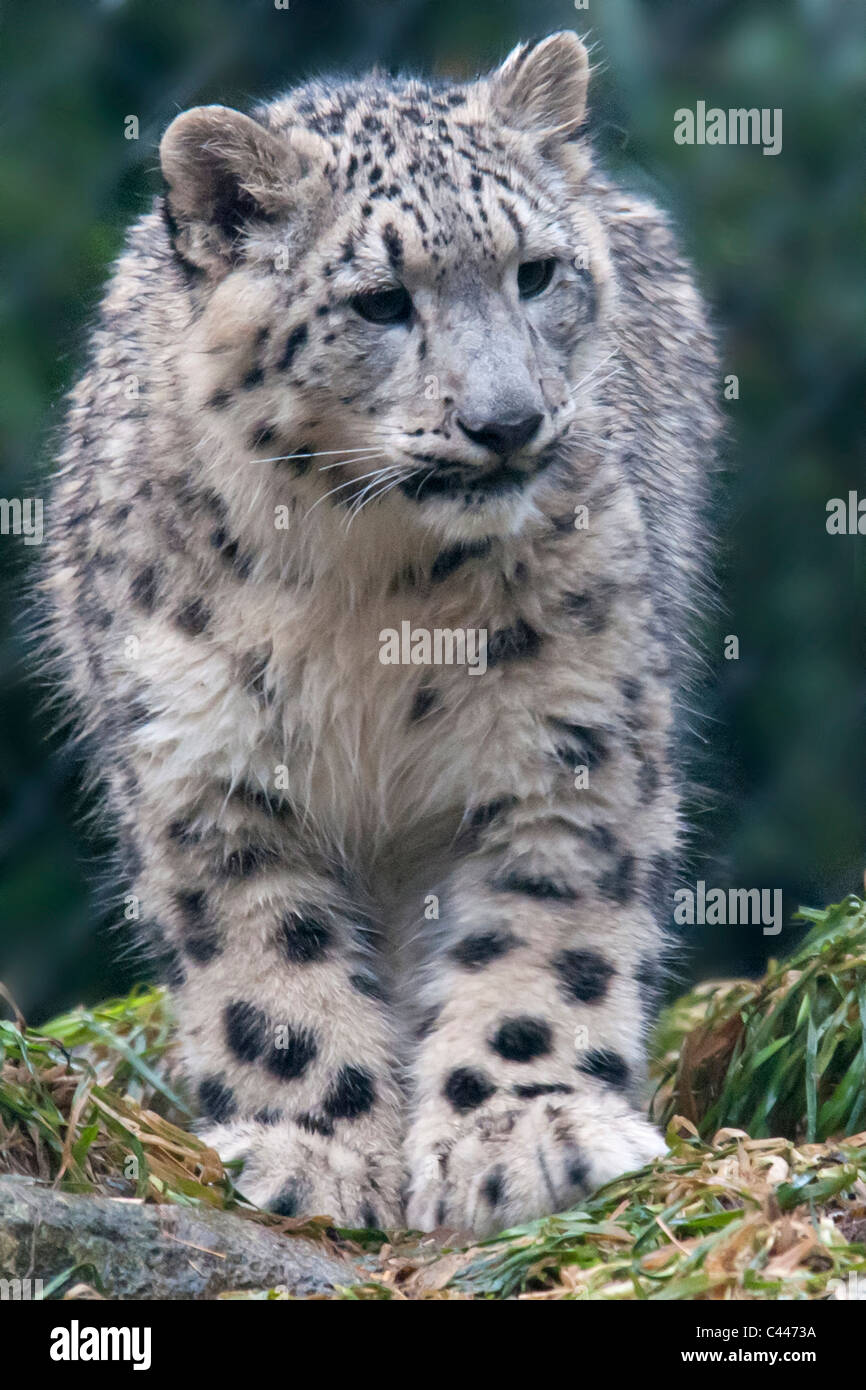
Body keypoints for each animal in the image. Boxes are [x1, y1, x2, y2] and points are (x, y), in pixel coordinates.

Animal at [41, 31, 719, 1235]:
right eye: (379, 302)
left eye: (535, 273)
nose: (507, 421)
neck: (374, 590)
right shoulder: (203, 761)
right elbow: (269, 966)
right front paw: (311, 1148)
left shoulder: (570, 733)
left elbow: (541, 937)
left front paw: (521, 1130)